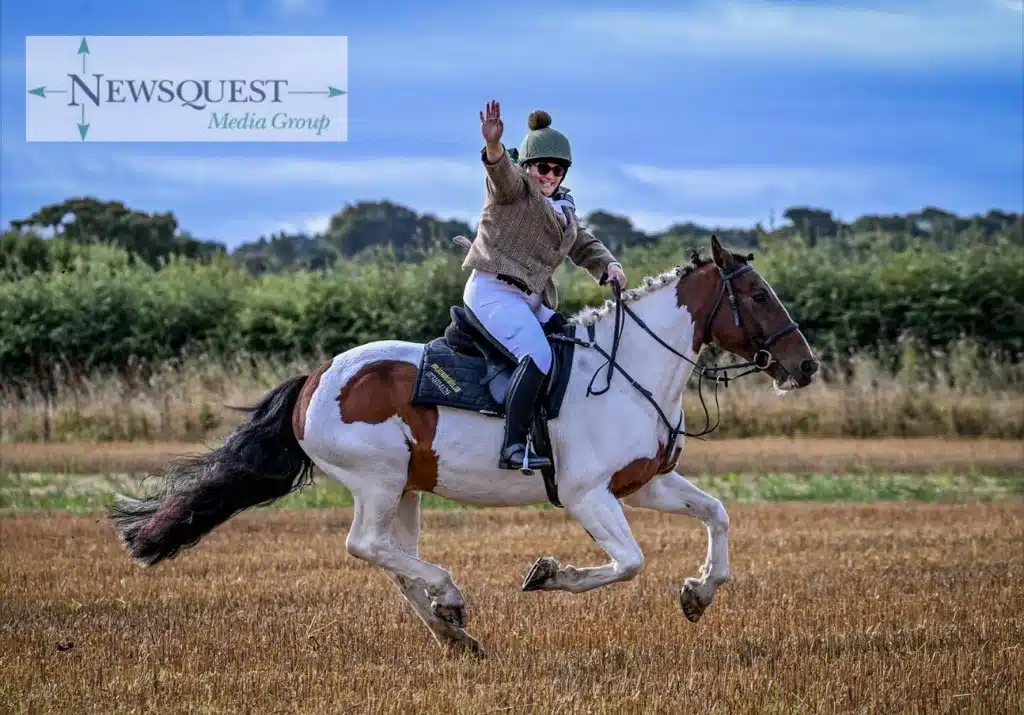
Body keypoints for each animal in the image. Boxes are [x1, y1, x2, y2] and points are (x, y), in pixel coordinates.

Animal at [108, 236, 818, 657]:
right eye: (757, 294)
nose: (804, 366)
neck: (630, 370)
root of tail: (315, 378)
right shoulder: (589, 496)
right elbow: (628, 563)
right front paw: (548, 574)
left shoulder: (644, 484)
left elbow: (716, 515)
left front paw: (699, 594)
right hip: (378, 480)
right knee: (366, 546)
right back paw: (450, 601)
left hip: (406, 488)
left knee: (393, 560)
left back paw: (453, 633)